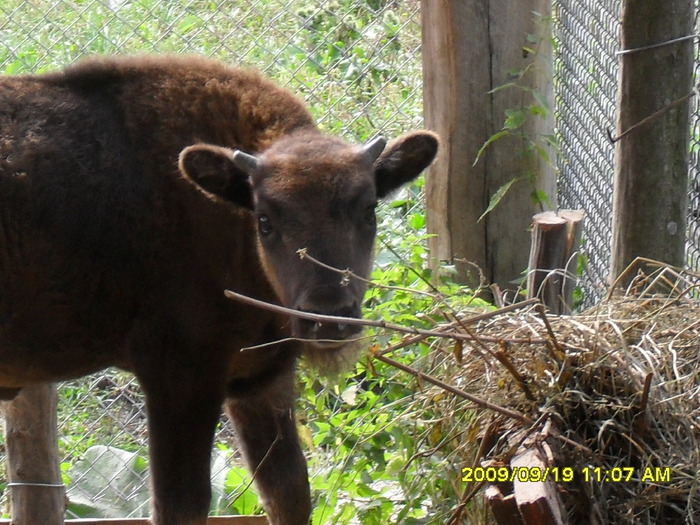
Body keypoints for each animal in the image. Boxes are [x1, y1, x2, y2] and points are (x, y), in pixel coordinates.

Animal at [0, 55, 438, 520]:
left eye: (369, 209)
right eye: (264, 220)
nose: (328, 317)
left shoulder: (260, 380)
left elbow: (288, 490)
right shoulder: (180, 377)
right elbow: (182, 503)